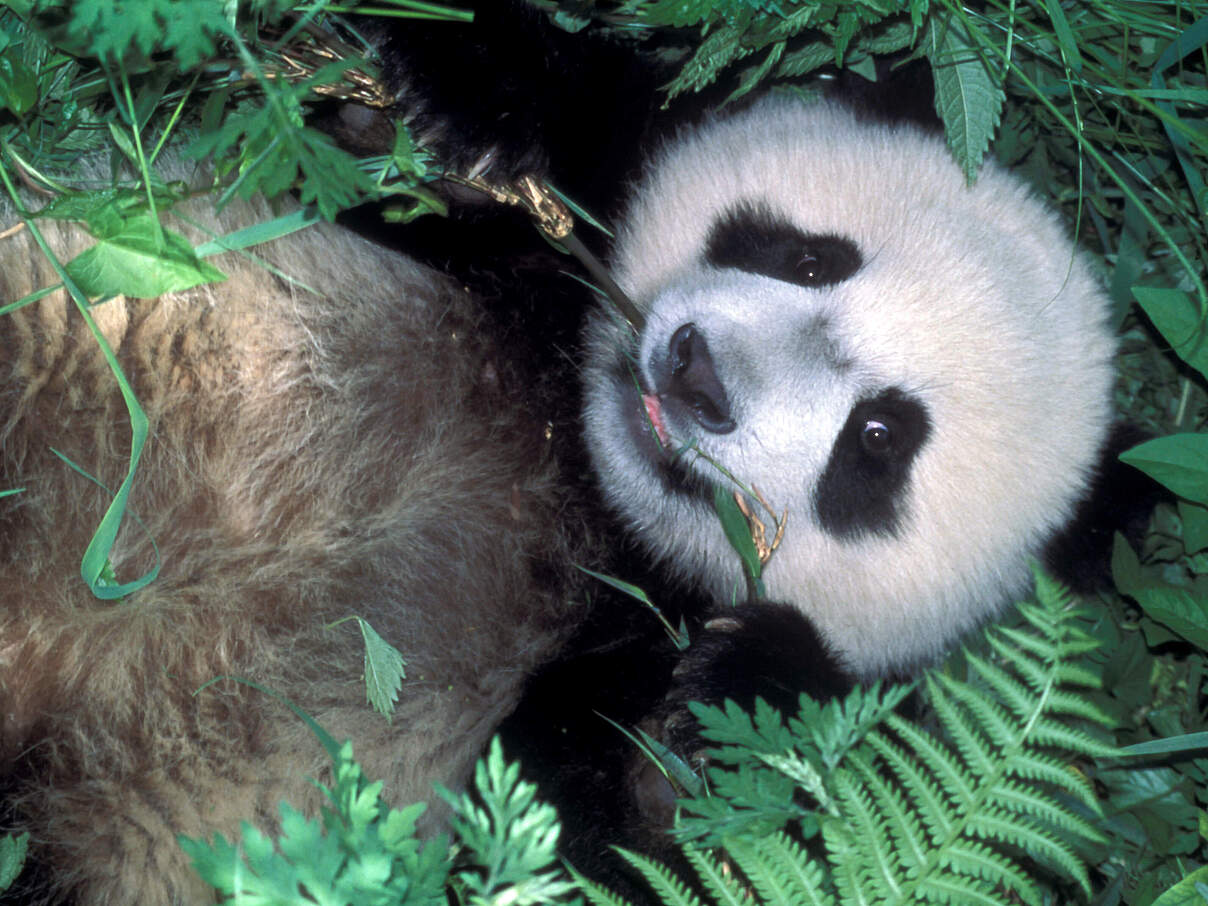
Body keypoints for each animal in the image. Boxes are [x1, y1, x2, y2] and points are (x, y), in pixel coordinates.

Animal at [0, 29, 1140, 906]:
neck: (576, 476)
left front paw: (739, 700)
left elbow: (637, 854)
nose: (695, 376)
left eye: (876, 440)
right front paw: (456, 108)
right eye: (811, 256)